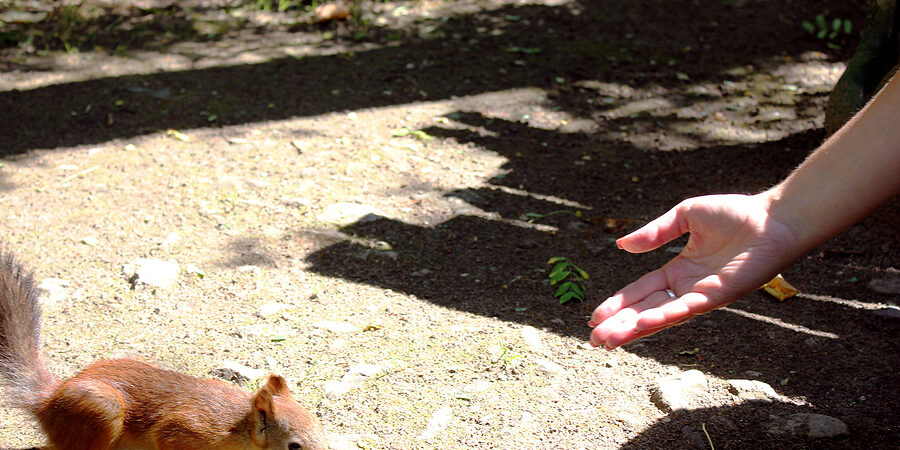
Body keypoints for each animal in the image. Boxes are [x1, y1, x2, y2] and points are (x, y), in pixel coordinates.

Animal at [0, 245, 329, 450]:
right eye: (294, 446)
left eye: (322, 429)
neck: (239, 430)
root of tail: (48, 402)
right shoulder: (184, 432)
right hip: (100, 410)